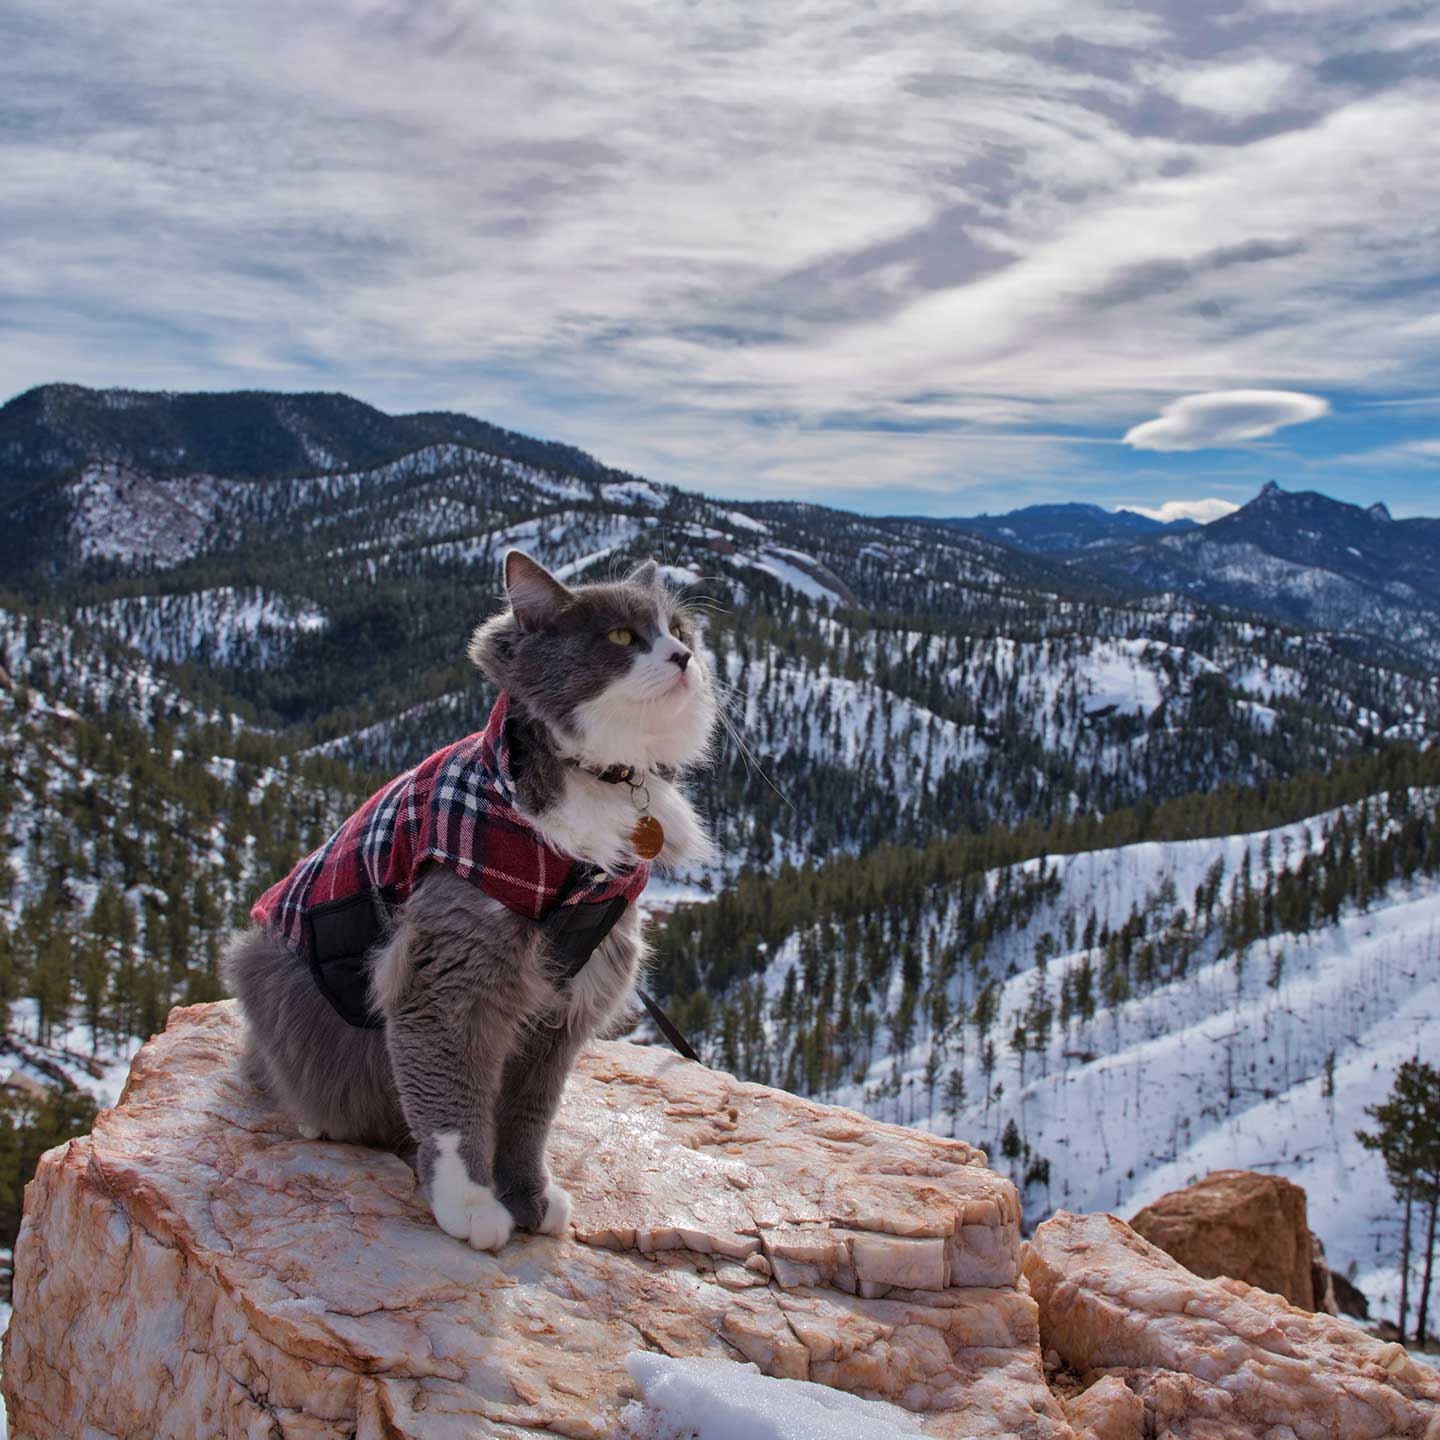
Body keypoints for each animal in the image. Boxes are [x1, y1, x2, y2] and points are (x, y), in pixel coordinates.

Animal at [223, 550, 714, 1249]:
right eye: (622, 637)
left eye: (679, 629)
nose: (683, 657)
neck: (596, 782)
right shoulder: (450, 973)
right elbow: (454, 1105)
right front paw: (473, 1204)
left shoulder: (566, 1000)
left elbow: (526, 1117)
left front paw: (529, 1196)